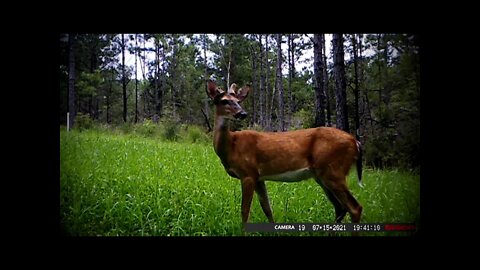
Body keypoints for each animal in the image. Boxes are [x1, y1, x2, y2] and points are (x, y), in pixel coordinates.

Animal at [206, 79, 364, 231]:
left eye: (238, 101)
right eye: (224, 101)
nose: (242, 113)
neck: (231, 146)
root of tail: (355, 142)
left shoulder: (248, 174)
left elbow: (245, 211)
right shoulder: (258, 177)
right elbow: (267, 209)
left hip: (334, 171)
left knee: (354, 207)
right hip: (321, 175)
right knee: (340, 208)